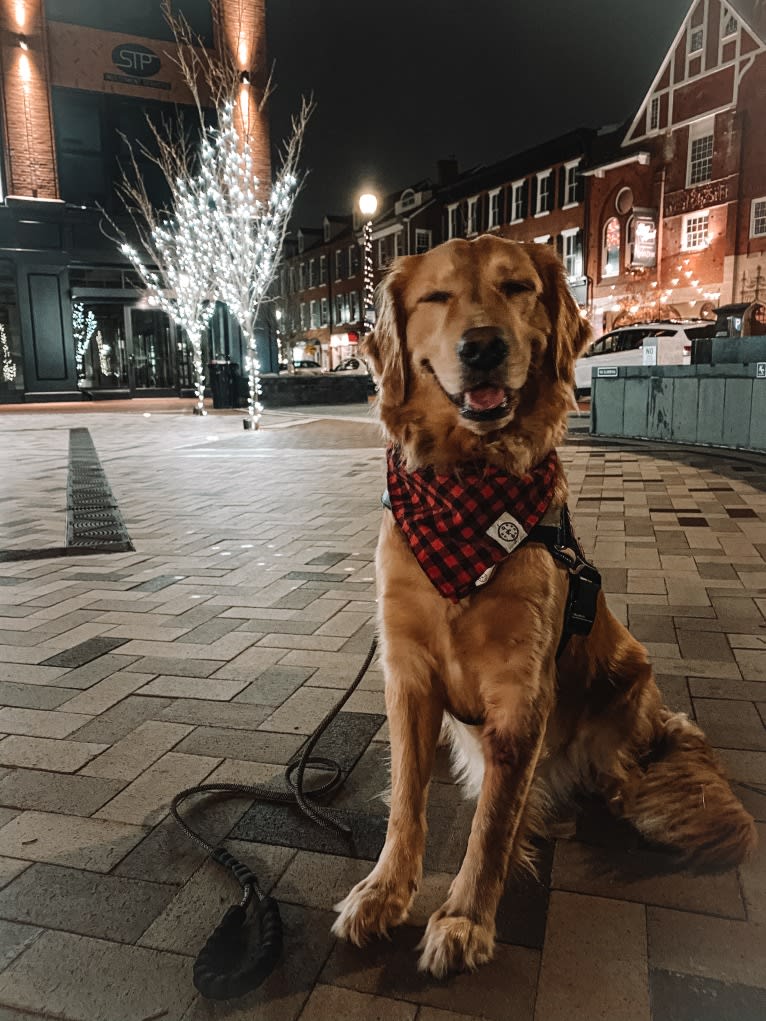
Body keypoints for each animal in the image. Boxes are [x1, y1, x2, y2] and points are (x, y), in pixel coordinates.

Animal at [332, 234, 759, 976]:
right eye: (437, 296)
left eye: (516, 288)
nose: (482, 346)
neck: (466, 489)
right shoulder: (406, 671)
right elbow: (406, 801)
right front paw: (384, 891)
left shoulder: (521, 689)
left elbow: (494, 823)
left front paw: (465, 919)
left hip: (629, 673)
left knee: (616, 770)